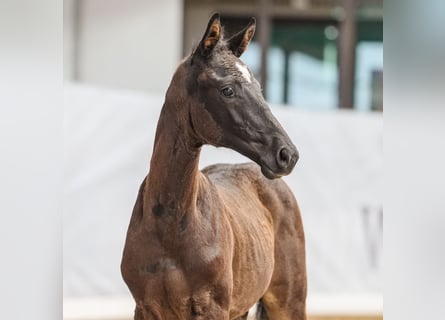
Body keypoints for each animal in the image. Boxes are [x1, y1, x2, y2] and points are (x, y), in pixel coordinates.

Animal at [120, 13, 306, 318]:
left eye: (259, 88)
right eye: (227, 90)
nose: (286, 154)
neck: (169, 227)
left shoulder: (212, 307)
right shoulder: (145, 308)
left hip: (289, 302)